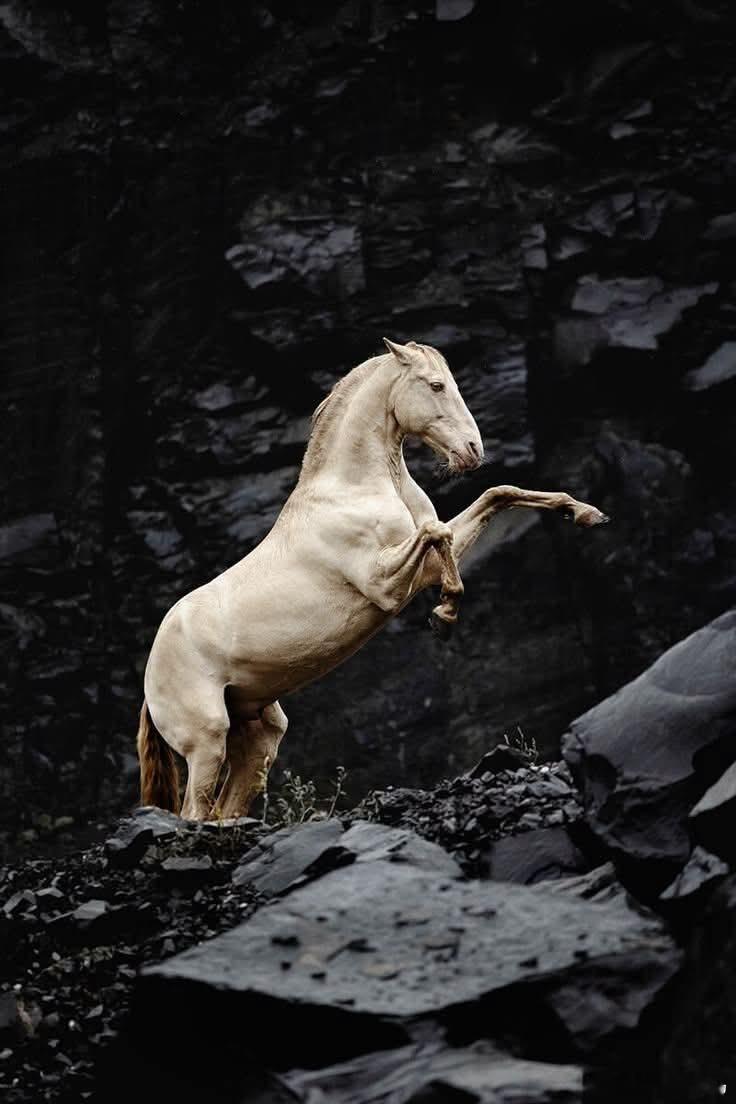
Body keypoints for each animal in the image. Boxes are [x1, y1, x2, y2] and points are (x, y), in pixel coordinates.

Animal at [137, 338, 608, 820]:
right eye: (435, 385)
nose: (473, 451)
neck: (354, 488)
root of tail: (150, 684)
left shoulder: (425, 566)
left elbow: (496, 496)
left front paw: (584, 512)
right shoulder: (384, 586)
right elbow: (436, 532)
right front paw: (444, 614)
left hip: (257, 736)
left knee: (225, 809)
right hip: (206, 743)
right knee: (194, 813)